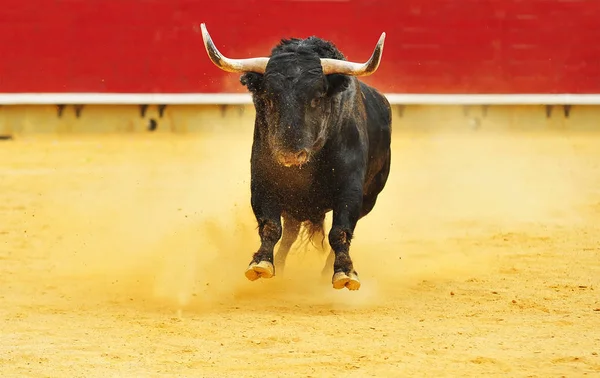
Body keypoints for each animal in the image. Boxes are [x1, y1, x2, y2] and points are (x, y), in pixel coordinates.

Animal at [199, 24, 392, 292]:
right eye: (268, 98)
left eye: (317, 98)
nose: (290, 154)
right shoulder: (263, 181)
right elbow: (270, 225)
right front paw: (261, 263)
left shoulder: (351, 189)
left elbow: (340, 231)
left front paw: (345, 272)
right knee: (289, 232)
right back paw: (279, 266)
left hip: (369, 198)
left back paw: (326, 273)